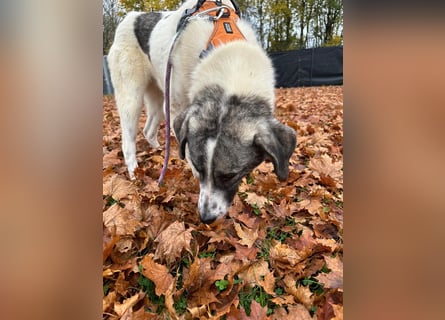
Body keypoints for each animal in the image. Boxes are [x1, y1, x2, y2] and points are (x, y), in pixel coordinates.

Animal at [107, 0, 294, 224]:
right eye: (199, 167)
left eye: (229, 176)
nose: (206, 218)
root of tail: (130, 17)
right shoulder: (177, 107)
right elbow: (186, 148)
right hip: (132, 96)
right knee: (128, 141)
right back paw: (135, 174)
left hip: (160, 97)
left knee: (148, 129)